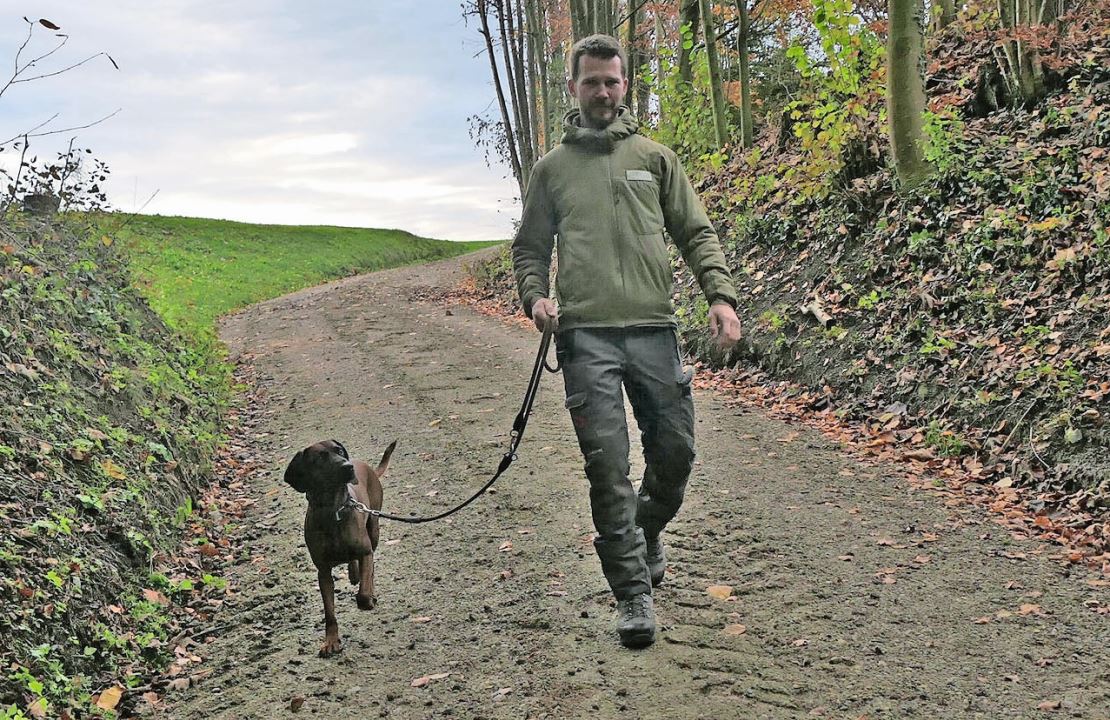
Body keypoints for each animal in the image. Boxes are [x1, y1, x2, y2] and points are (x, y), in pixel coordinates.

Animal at [284, 437, 397, 656]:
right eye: (320, 458)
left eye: (340, 451)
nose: (348, 466)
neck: (333, 511)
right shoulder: (323, 572)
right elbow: (329, 613)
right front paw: (331, 641)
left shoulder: (365, 551)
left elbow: (363, 591)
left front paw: (367, 599)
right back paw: (353, 574)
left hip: (374, 528)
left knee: (370, 567)